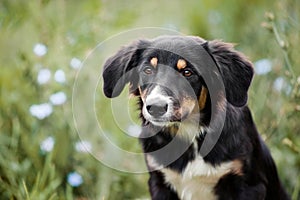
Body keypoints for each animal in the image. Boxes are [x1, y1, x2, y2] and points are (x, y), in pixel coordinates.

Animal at [102, 36, 290, 200]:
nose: (156, 108)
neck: (190, 134)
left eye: (187, 72)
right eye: (147, 70)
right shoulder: (159, 182)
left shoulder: (248, 184)